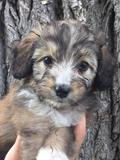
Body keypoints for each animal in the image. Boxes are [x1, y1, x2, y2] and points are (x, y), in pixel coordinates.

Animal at [0, 20, 114, 159]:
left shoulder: (74, 118)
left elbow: (63, 130)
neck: (55, 108)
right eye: (47, 60)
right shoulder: (30, 117)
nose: (61, 90)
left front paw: (53, 153)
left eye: (83, 65)